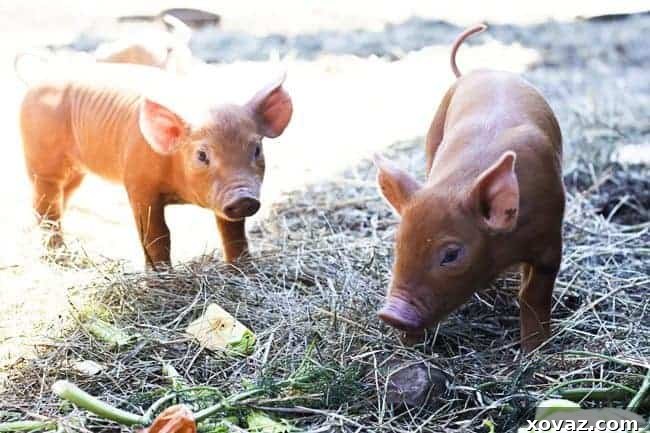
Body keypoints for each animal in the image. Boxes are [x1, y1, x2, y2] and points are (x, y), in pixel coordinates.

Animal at [20, 63, 292, 267]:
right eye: (202, 155)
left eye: (256, 149)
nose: (244, 198)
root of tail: (36, 78)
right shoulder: (138, 185)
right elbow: (157, 235)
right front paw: (160, 276)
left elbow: (232, 232)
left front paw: (242, 269)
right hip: (41, 160)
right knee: (46, 205)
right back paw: (58, 255)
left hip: (76, 171)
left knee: (60, 199)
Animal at [374, 24, 565, 352]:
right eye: (398, 244)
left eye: (451, 254)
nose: (390, 313)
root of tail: (473, 73)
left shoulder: (551, 240)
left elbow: (533, 295)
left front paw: (534, 351)